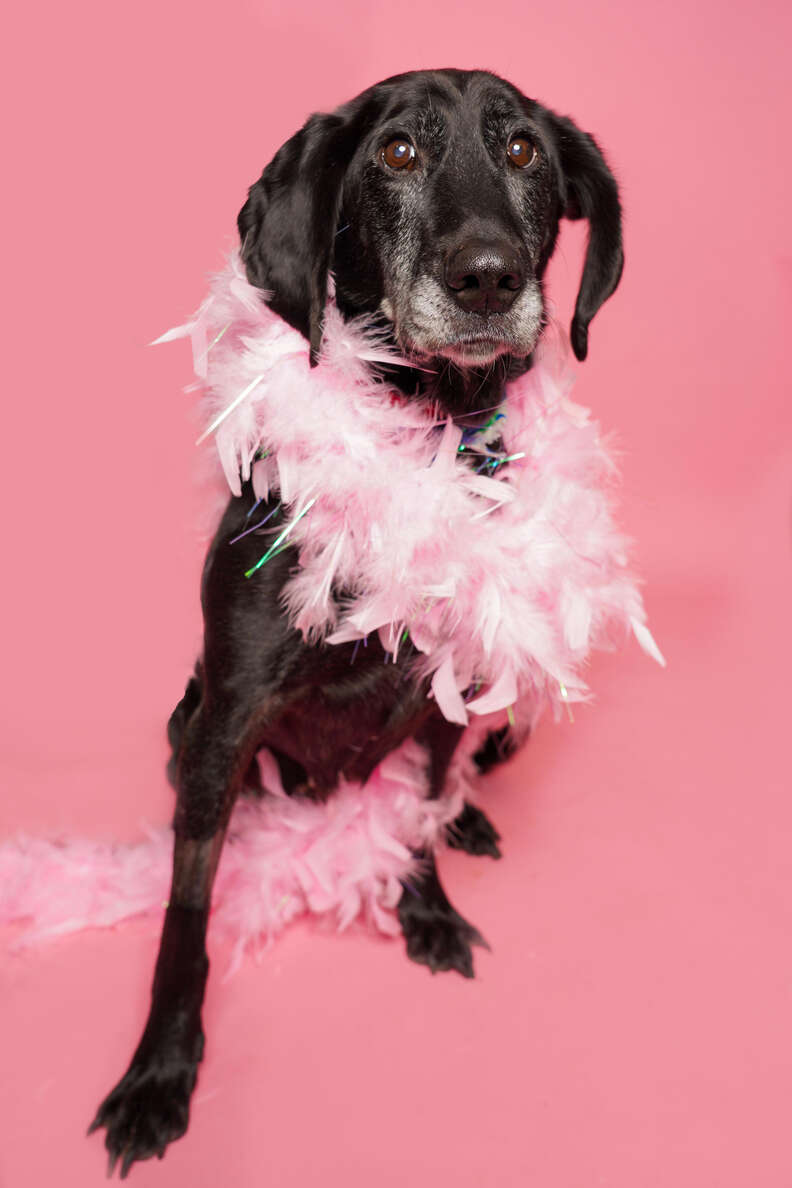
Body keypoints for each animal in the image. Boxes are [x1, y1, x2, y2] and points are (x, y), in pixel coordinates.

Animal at [91, 69, 626, 1173]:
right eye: (397, 153)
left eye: (523, 150)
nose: (486, 277)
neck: (423, 433)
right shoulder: (226, 723)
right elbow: (186, 917)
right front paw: (160, 1074)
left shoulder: (449, 691)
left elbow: (410, 818)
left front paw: (425, 906)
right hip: (185, 721)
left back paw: (466, 817)